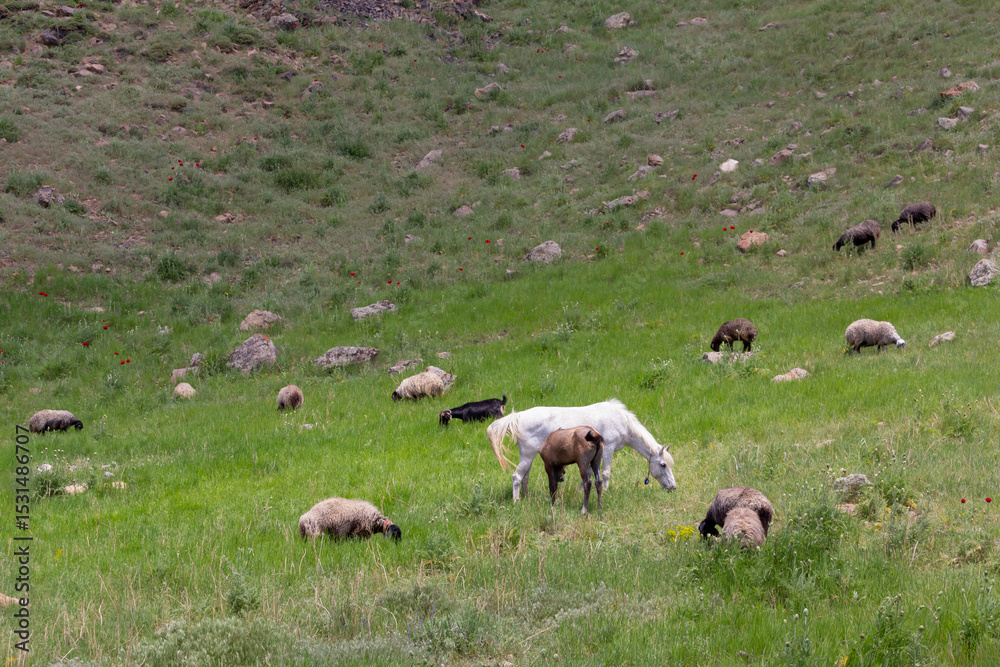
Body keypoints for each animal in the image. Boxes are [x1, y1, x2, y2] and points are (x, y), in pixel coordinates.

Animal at [486, 399, 677, 501]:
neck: (621, 420)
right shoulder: (608, 449)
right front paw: (606, 492)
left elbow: (590, 473)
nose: (673, 487)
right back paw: (516, 501)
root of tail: (517, 417)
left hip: (528, 457)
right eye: (663, 465)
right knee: (516, 477)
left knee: (524, 478)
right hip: (527, 456)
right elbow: (606, 473)